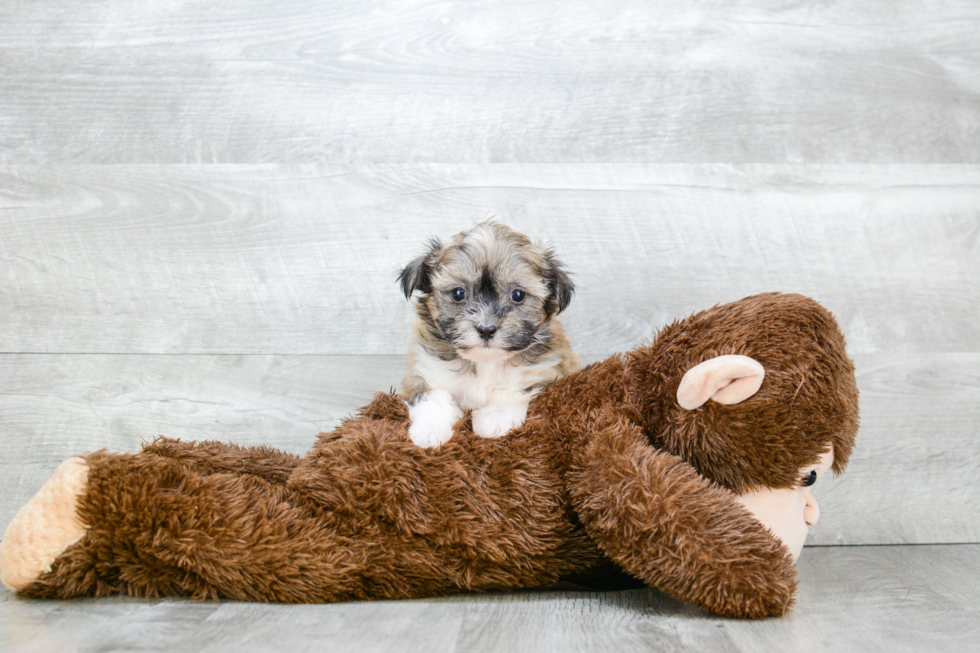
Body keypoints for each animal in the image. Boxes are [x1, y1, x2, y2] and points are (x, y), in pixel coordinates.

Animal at [398, 222, 580, 446]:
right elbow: (435, 396)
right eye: (458, 293)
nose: (486, 329)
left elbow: (514, 389)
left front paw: (496, 418)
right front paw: (429, 430)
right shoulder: (427, 371)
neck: (485, 362)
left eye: (517, 295)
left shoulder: (546, 373)